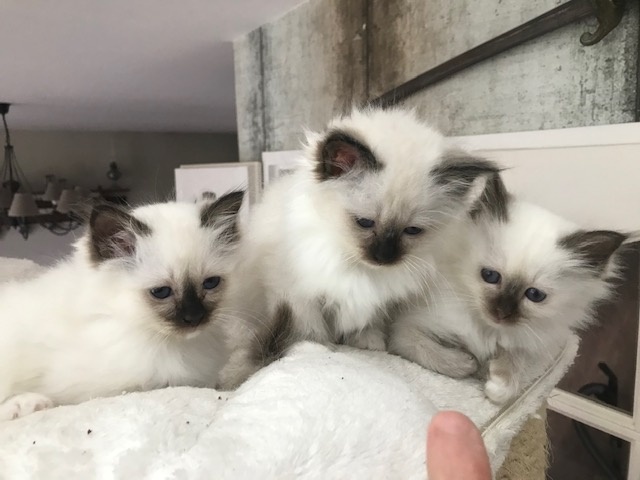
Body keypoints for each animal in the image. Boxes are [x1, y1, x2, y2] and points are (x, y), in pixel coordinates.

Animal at [218, 109, 502, 390]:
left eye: (412, 230)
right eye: (365, 222)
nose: (384, 257)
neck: (351, 262)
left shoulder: (379, 298)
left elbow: (368, 320)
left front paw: (367, 341)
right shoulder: (297, 295)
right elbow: (312, 330)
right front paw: (318, 349)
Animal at [388, 182, 628, 404]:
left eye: (535, 295)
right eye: (490, 276)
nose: (501, 313)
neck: (486, 329)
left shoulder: (523, 339)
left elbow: (512, 366)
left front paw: (497, 384)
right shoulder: (405, 328)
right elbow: (429, 351)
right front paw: (467, 363)